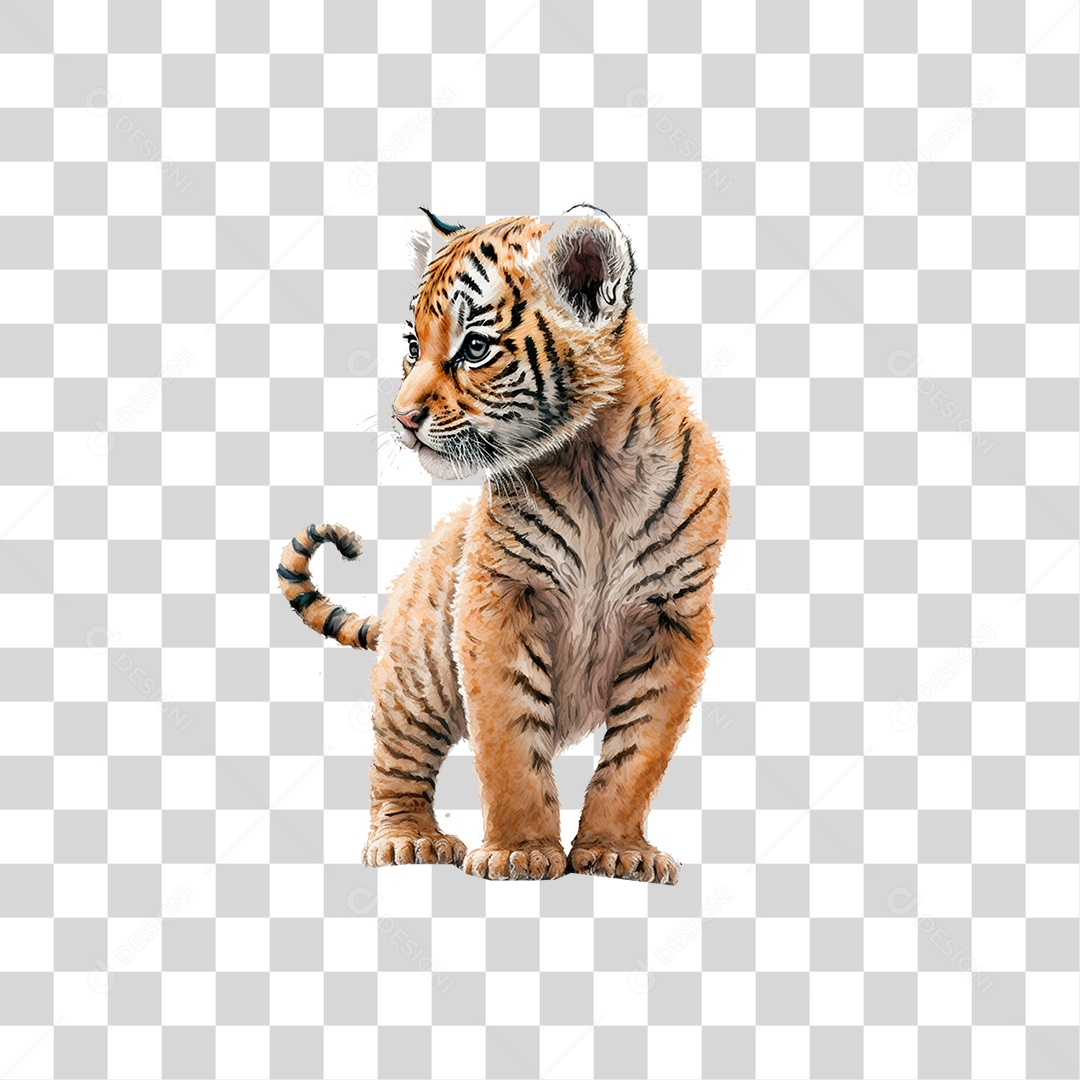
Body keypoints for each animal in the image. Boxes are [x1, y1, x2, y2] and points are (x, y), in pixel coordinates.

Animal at [278, 205, 729, 883]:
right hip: (416, 680)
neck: (591, 464)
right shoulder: (499, 599)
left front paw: (615, 851)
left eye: (475, 348)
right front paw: (520, 852)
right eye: (413, 347)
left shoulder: (674, 617)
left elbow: (638, 753)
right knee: (396, 767)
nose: (400, 418)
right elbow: (510, 740)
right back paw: (407, 841)